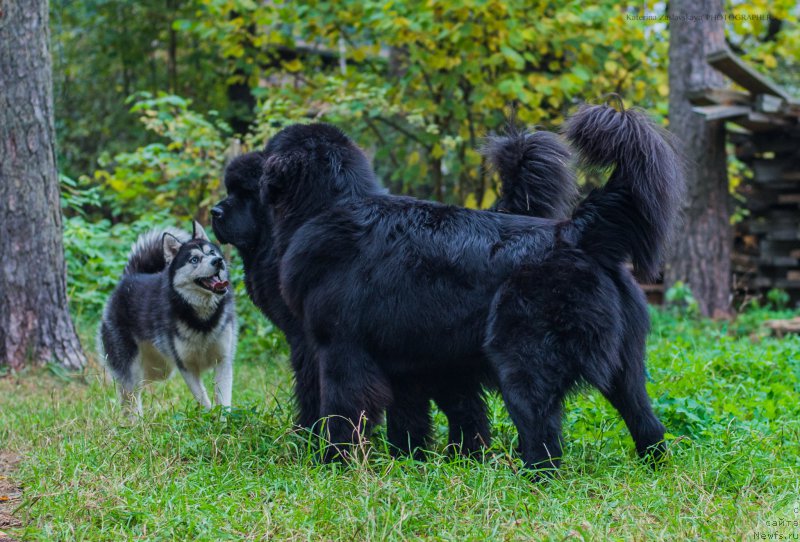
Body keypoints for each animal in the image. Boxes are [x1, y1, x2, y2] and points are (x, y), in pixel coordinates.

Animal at [260, 105, 684, 472]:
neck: (329, 203)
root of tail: (577, 233)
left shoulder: (340, 350)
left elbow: (341, 413)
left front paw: (333, 463)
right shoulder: (409, 362)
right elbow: (410, 420)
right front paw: (410, 463)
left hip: (523, 361)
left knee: (543, 435)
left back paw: (530, 479)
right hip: (626, 368)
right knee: (646, 421)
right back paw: (654, 467)